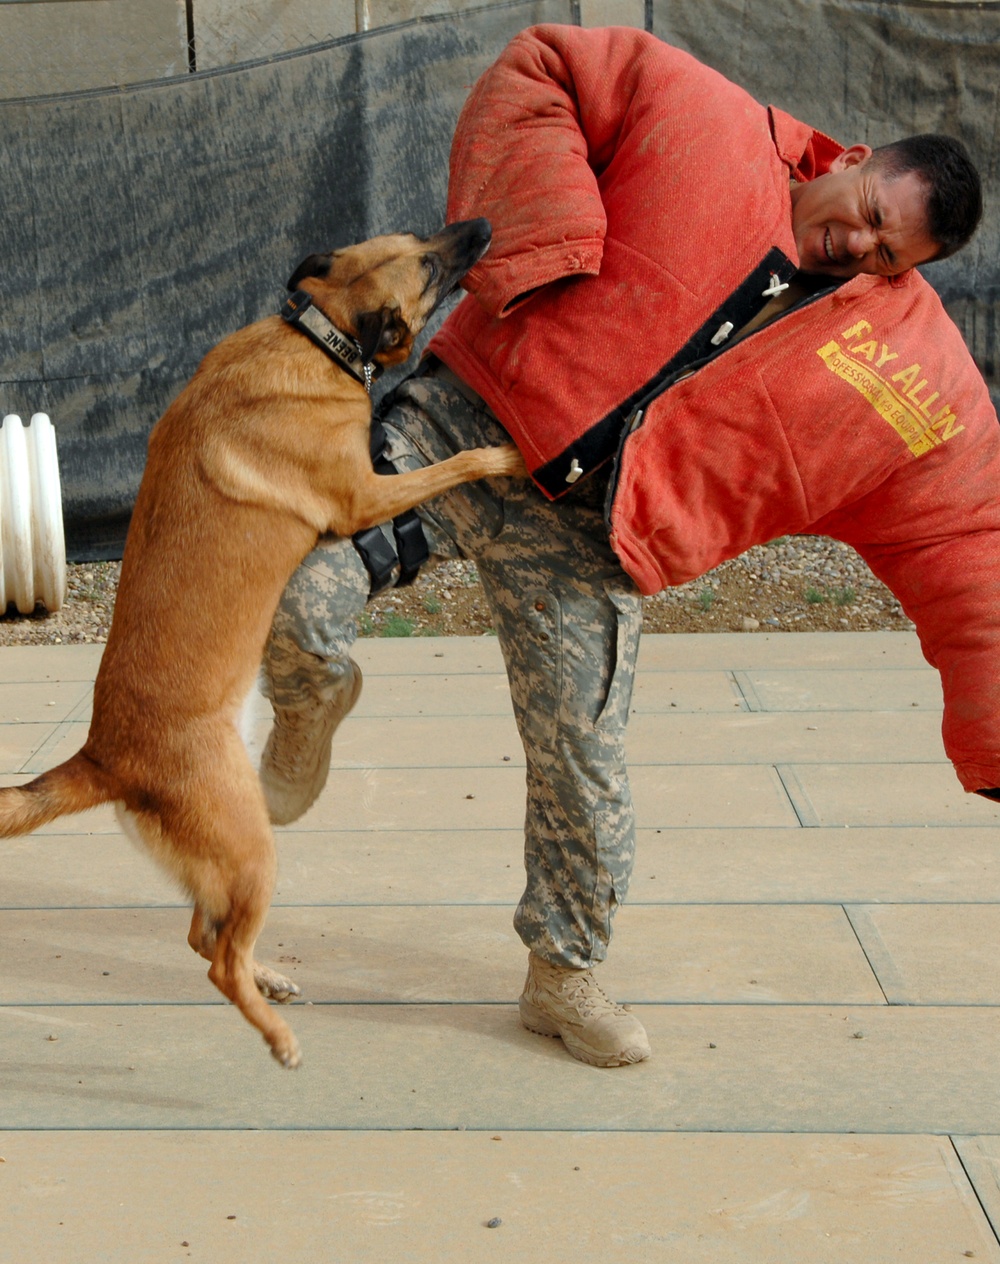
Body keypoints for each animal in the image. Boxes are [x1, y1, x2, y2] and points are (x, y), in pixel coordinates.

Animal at [0, 219, 528, 1066]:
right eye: (427, 265)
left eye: (419, 238)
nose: (478, 226)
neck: (317, 334)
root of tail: (104, 758)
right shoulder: (363, 496)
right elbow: (452, 463)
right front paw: (500, 454)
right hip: (251, 849)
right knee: (217, 960)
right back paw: (278, 1036)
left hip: (227, 856)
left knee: (202, 936)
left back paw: (269, 978)